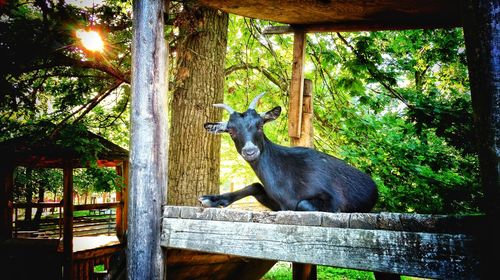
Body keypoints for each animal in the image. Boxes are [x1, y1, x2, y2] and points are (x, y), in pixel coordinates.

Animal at [199, 93, 378, 213]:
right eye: (231, 131)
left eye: (260, 125)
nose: (250, 151)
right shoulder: (280, 204)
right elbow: (255, 185)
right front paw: (211, 199)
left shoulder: (334, 201)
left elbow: (302, 204)